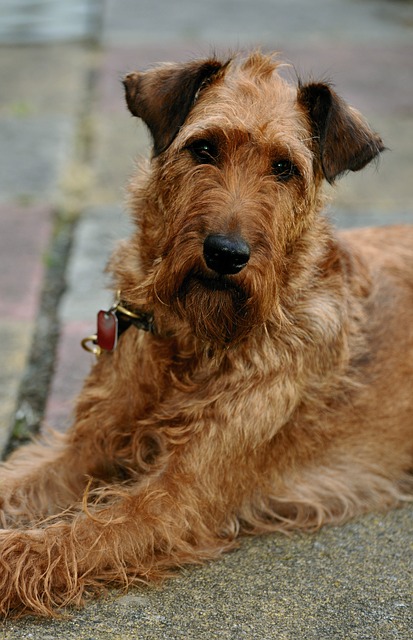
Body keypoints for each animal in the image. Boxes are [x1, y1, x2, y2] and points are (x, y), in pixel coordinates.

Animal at [0, 52, 412, 616]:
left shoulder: (177, 496)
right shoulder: (86, 448)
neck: (188, 342)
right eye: (204, 148)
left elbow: (69, 537)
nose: (226, 254)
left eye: (283, 167)